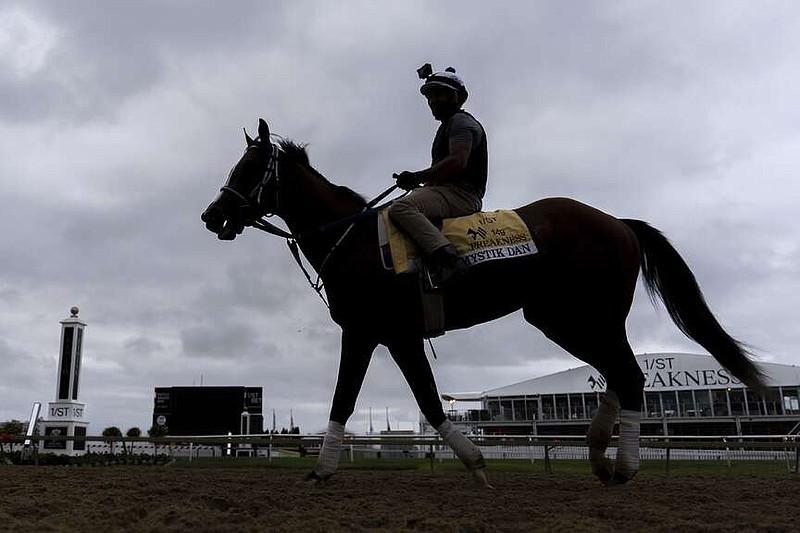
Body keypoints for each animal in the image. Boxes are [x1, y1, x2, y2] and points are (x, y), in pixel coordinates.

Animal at [198, 118, 764, 484]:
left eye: (249, 167)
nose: (211, 215)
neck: (353, 239)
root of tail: (618, 223)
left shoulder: (366, 331)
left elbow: (351, 397)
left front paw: (321, 469)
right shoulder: (394, 335)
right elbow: (424, 400)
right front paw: (471, 461)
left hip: (580, 316)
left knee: (627, 373)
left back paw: (622, 465)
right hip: (561, 318)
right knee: (620, 373)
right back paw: (601, 457)